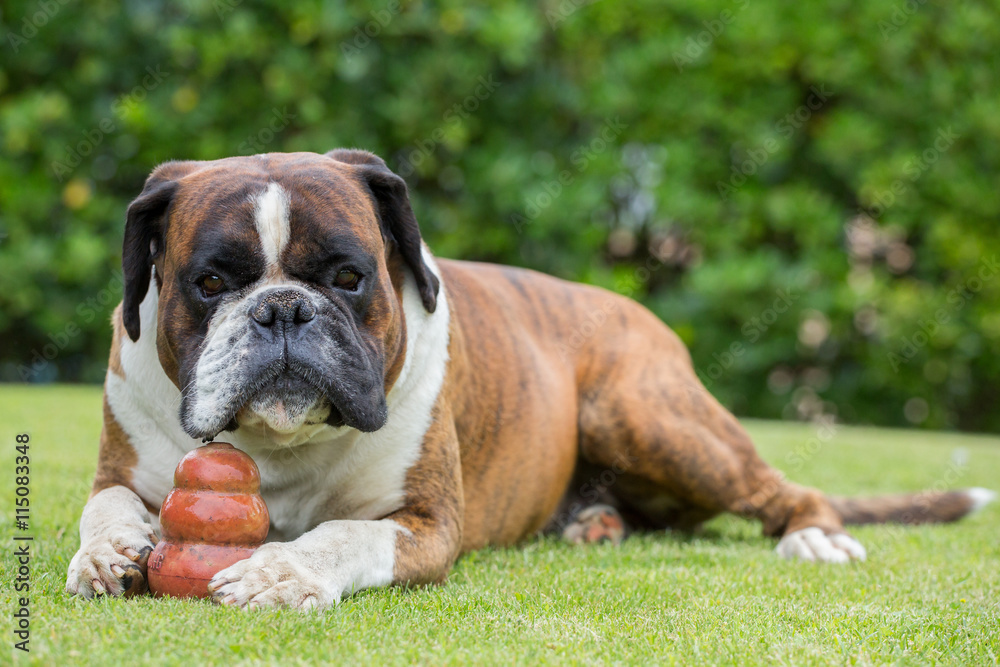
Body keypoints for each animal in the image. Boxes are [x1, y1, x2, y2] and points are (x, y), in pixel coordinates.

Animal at [66, 150, 996, 612]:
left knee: (785, 489)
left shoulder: (425, 524)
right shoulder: (121, 465)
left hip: (650, 417)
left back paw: (814, 536)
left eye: (348, 276)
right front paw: (108, 553)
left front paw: (281, 571)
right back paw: (595, 523)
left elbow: (342, 534)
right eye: (210, 283)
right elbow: (103, 506)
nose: (283, 310)